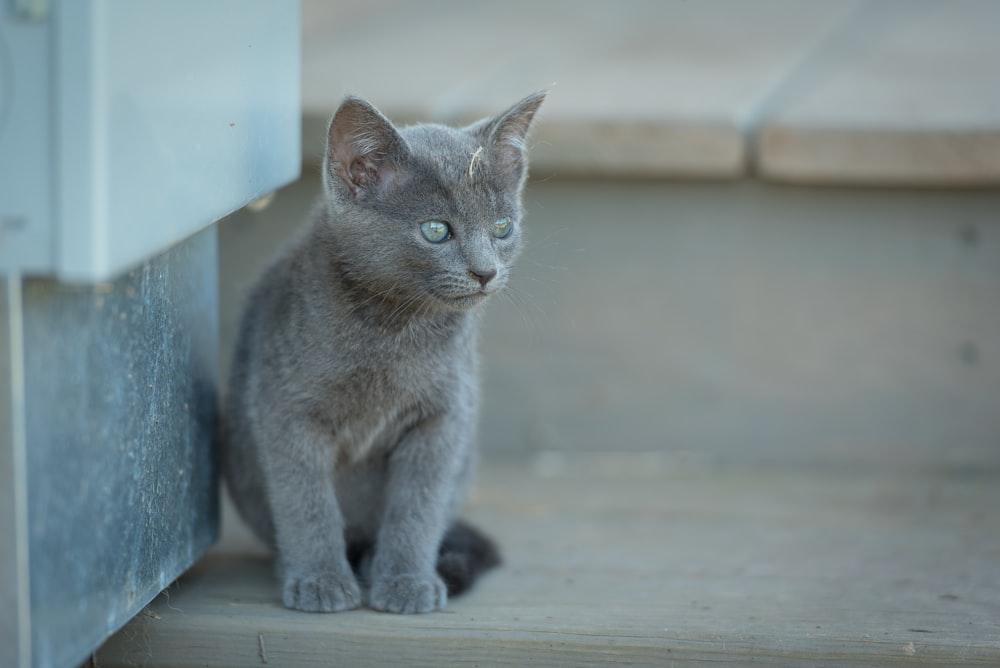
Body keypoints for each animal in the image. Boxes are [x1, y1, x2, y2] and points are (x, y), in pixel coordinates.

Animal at [225, 91, 548, 612]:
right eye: (436, 230)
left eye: (502, 227)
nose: (485, 272)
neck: (395, 330)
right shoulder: (286, 410)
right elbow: (304, 500)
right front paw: (319, 579)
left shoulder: (443, 416)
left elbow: (418, 506)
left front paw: (406, 579)